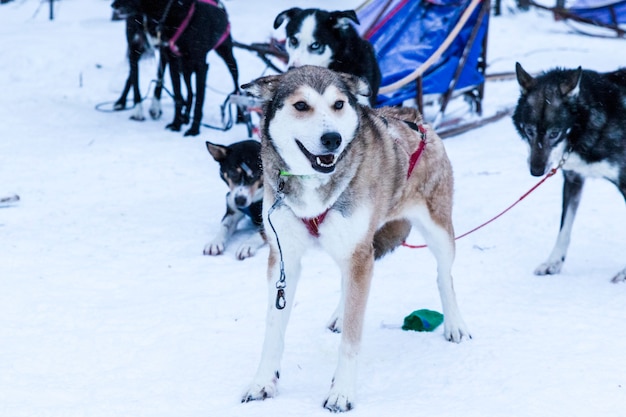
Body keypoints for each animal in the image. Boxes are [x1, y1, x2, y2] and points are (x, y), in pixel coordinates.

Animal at [512, 62, 624, 282]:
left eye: (554, 133)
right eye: (529, 131)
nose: (536, 171)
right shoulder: (573, 179)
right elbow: (564, 228)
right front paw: (553, 262)